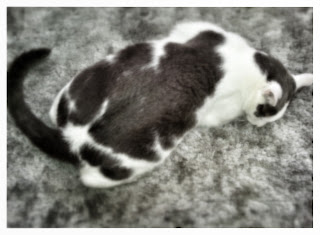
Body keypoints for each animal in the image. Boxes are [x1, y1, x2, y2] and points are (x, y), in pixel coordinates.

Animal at [7, 21, 312, 187]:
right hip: (143, 158)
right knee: (91, 179)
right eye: (263, 112)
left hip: (86, 80)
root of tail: (73, 138)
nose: (256, 123)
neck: (253, 64)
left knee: (55, 107)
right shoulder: (210, 34)